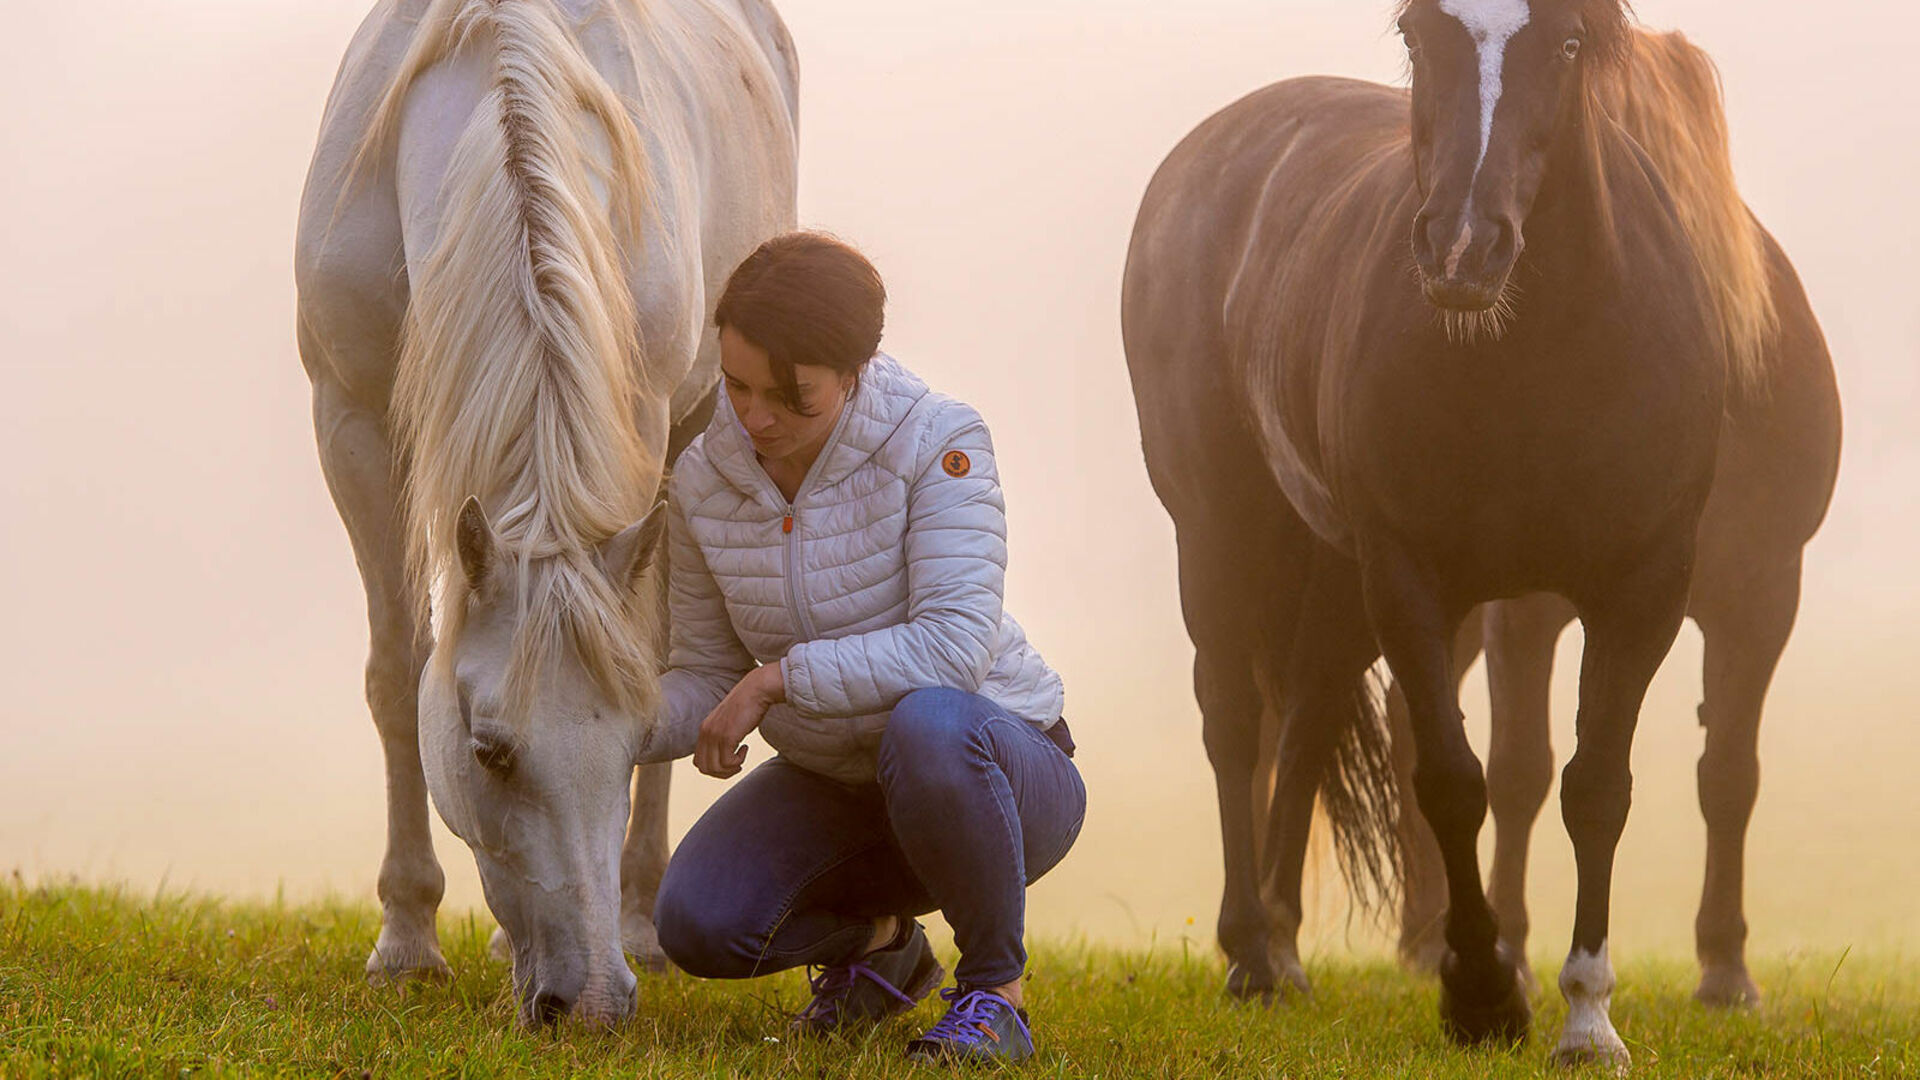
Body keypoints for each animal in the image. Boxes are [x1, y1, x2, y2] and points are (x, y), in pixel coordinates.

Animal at [289, 0, 794, 1022]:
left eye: (631, 740)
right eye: (489, 753)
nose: (593, 1000)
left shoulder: (638, 428)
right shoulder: (349, 418)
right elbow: (398, 671)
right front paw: (406, 940)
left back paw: (639, 919)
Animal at [1121, 0, 1743, 1060]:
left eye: (1567, 43)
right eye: (1420, 34)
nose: (1462, 250)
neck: (1538, 355)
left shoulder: (1643, 587)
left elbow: (1595, 786)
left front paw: (1587, 1017)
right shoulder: (1411, 576)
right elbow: (1452, 779)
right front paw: (1484, 995)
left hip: (1334, 569)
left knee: (1308, 712)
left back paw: (1282, 953)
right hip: (1217, 528)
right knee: (1235, 722)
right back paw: (1250, 954)